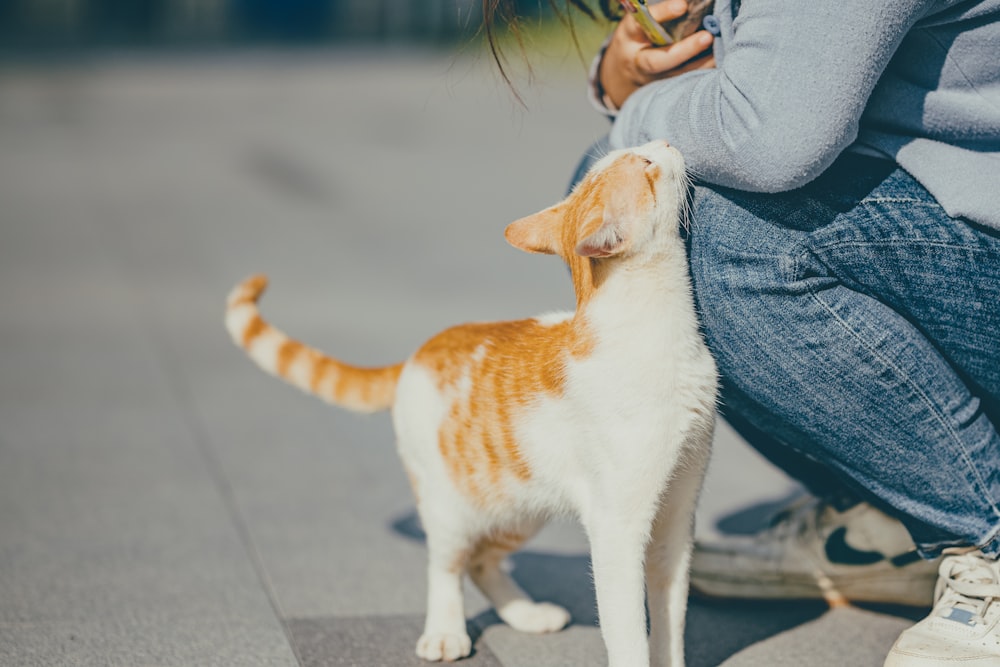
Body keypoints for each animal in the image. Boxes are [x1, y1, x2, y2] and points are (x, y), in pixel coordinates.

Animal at [225, 142, 720, 667]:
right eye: (643, 165)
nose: (663, 143)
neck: (665, 329)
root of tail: (417, 354)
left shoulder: (676, 518)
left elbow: (669, 620)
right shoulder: (617, 527)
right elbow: (627, 632)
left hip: (522, 504)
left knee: (483, 561)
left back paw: (526, 614)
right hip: (450, 507)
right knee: (447, 565)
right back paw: (445, 632)